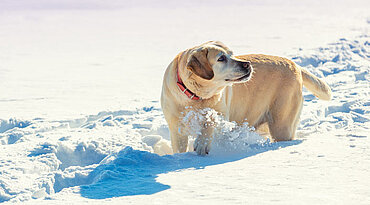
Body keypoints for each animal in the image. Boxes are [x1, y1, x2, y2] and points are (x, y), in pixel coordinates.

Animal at [160, 40, 330, 155]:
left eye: (232, 54)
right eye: (221, 58)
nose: (247, 64)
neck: (196, 96)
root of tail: (295, 65)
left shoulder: (221, 112)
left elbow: (210, 120)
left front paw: (202, 144)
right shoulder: (176, 129)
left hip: (281, 123)